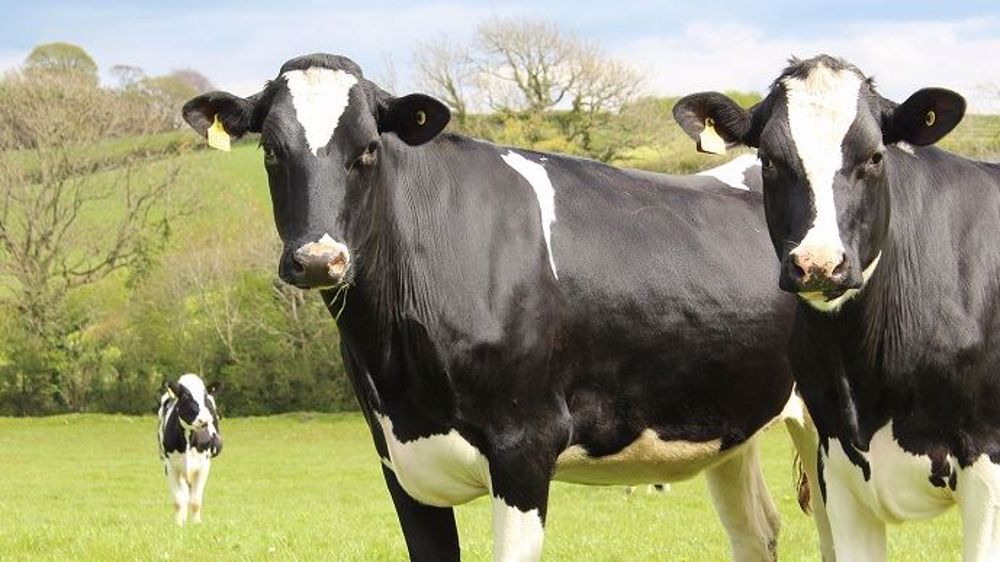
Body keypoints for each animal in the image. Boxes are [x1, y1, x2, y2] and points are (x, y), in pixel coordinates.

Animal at [157, 373, 222, 525]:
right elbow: (178, 499)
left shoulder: (204, 465)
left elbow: (196, 500)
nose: (203, 420)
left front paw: (196, 524)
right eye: (186, 397)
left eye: (205, 398)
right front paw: (179, 524)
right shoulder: (170, 466)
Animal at [182, 53, 833, 561]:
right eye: (270, 150)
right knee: (759, 531)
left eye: (367, 149)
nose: (319, 259)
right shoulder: (398, 462)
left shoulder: (524, 445)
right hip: (731, 420)